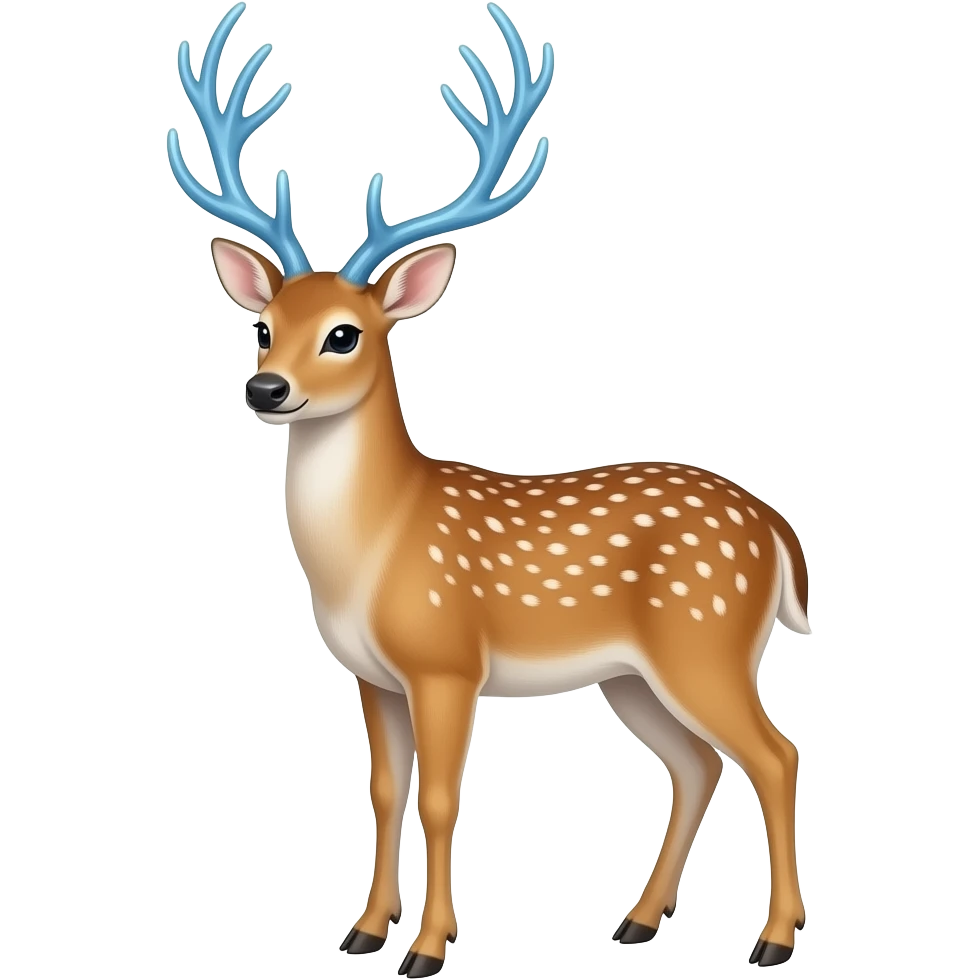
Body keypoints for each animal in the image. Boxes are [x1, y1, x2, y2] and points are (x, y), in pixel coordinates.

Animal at [167, 2, 809, 974]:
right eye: (263, 326)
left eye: (347, 334)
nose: (264, 389)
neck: (373, 550)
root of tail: (774, 527)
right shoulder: (371, 674)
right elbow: (384, 789)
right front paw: (363, 931)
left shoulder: (445, 660)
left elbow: (440, 797)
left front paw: (429, 947)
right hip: (632, 674)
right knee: (696, 763)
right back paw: (638, 920)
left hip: (707, 639)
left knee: (774, 754)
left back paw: (772, 939)